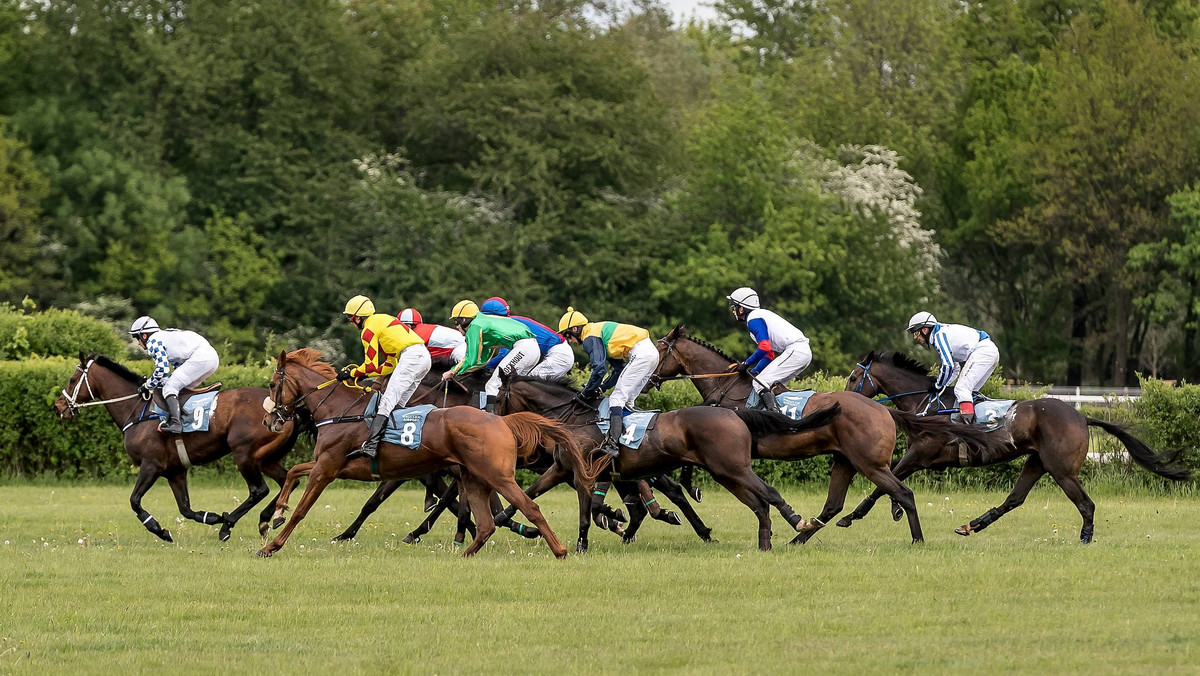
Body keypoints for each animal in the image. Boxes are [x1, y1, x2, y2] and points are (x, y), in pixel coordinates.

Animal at [53, 353, 300, 542]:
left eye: (73, 379)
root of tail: (284, 411)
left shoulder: (150, 465)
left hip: (243, 453)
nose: (57, 406)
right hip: (266, 458)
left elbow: (134, 501)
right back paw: (266, 518)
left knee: (259, 489)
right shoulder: (175, 471)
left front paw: (159, 530)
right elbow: (185, 509)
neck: (139, 409)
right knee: (288, 481)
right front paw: (210, 517)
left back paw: (228, 524)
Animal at [262, 348, 600, 561]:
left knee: (529, 506)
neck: (340, 410)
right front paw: (274, 515)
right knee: (487, 523)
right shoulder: (328, 465)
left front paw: (271, 545)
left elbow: (302, 509)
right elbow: (294, 472)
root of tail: (500, 420)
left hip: (496, 475)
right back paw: (465, 553)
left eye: (272, 383)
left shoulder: (327, 468)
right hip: (475, 478)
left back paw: (560, 549)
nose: (269, 420)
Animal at [648, 328, 1003, 545]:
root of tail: (883, 410)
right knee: (836, 505)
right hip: (846, 460)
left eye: (659, 350)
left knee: (901, 491)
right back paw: (801, 537)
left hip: (869, 463)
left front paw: (693, 489)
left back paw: (914, 536)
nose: (649, 379)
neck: (727, 388)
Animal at [835, 353, 1190, 542]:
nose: (844, 398)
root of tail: (1081, 415)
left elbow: (883, 483)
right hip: (1037, 462)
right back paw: (972, 524)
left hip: (1061, 470)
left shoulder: (920, 454)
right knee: (1014, 499)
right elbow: (891, 481)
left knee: (1086, 504)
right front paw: (894, 508)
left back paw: (1085, 537)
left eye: (853, 377)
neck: (926, 404)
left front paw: (853, 516)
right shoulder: (921, 458)